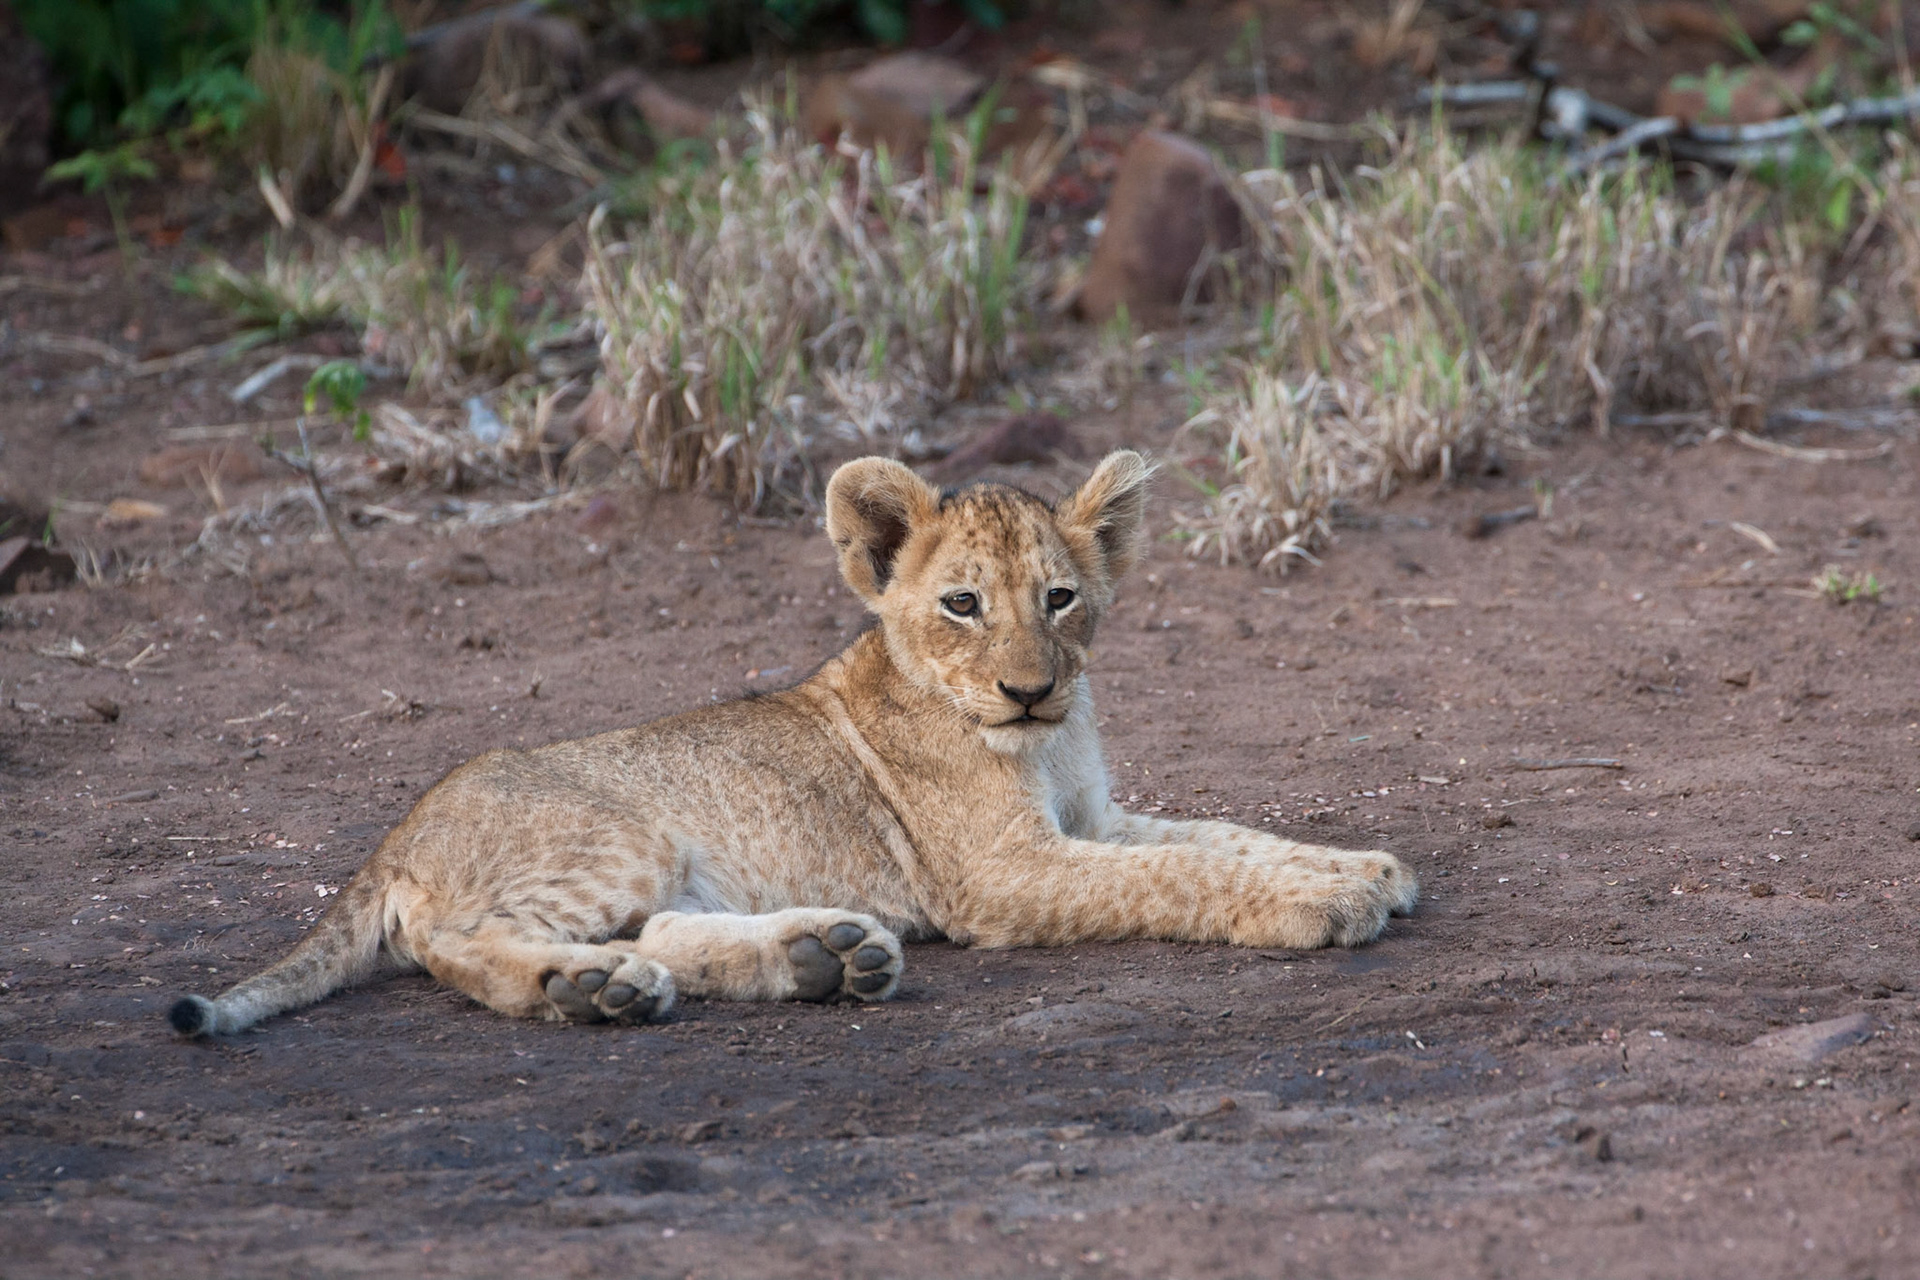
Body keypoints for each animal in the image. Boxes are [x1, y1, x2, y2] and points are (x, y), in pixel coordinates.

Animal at [168, 450, 1416, 1036]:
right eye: (962, 603)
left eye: (1061, 597)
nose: (1027, 690)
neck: (1043, 746)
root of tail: (402, 827)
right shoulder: (1005, 873)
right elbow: (1180, 871)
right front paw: (1322, 901)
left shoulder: (1091, 817)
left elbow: (1220, 832)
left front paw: (1363, 865)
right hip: (614, 835)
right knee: (462, 944)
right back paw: (593, 988)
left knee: (665, 930)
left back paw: (821, 956)